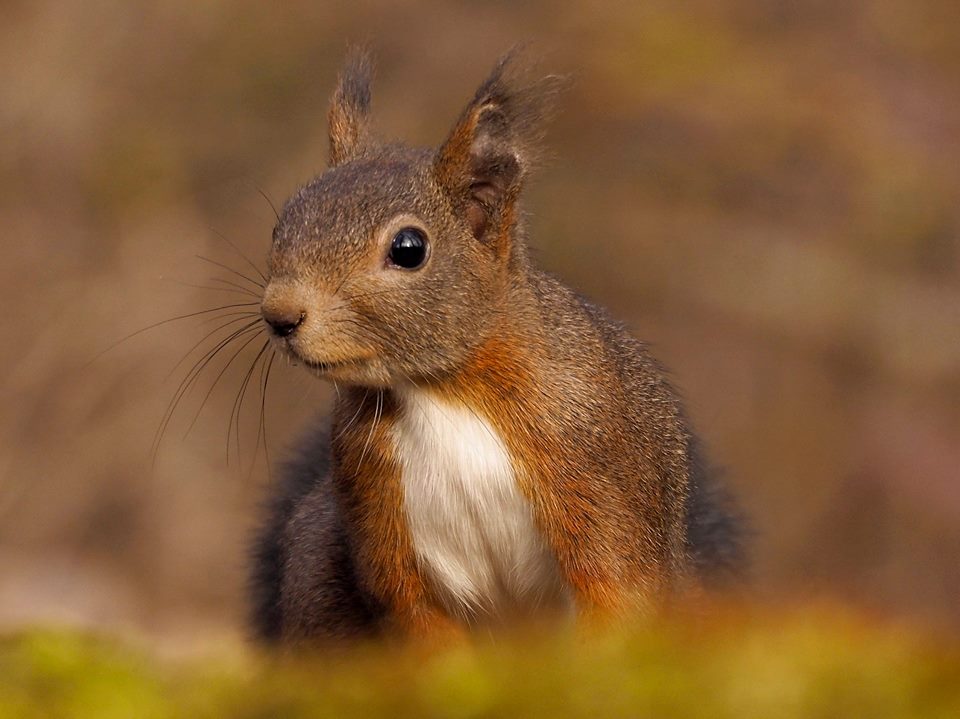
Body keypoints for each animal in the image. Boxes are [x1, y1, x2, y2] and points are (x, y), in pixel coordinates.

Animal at [249, 50, 744, 644]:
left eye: (409, 249)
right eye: (281, 225)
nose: (280, 315)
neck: (445, 389)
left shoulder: (594, 462)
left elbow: (615, 587)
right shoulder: (378, 514)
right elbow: (416, 618)